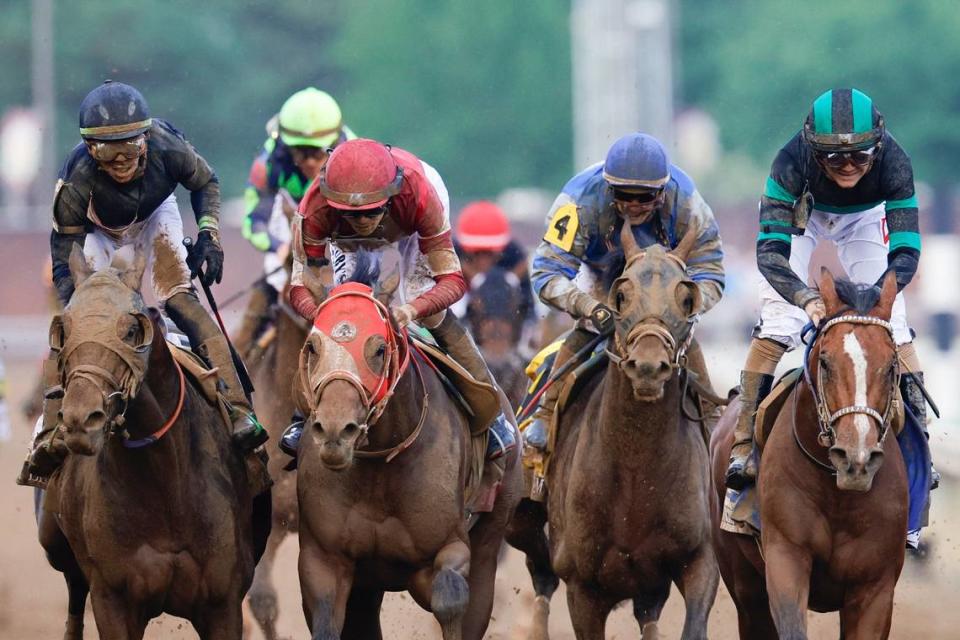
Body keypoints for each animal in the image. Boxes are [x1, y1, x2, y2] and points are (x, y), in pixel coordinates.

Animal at [36, 249, 270, 640]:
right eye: (63, 331)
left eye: (131, 330)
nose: (80, 419)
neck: (164, 483)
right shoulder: (113, 599)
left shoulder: (222, 602)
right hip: (55, 543)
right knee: (74, 589)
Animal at [294, 255, 524, 640]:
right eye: (313, 347)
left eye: (379, 348)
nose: (336, 430)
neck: (378, 470)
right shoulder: (322, 558)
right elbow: (326, 622)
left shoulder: (450, 548)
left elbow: (449, 597)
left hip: (492, 531)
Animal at [506, 225, 716, 640]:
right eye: (621, 295)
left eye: (687, 297)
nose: (648, 366)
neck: (638, 473)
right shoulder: (584, 586)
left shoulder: (697, 557)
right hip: (519, 514)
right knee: (541, 571)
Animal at [708, 266, 912, 640]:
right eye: (825, 362)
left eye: (892, 365)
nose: (856, 458)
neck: (839, 496)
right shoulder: (785, 559)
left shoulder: (875, 588)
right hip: (743, 582)